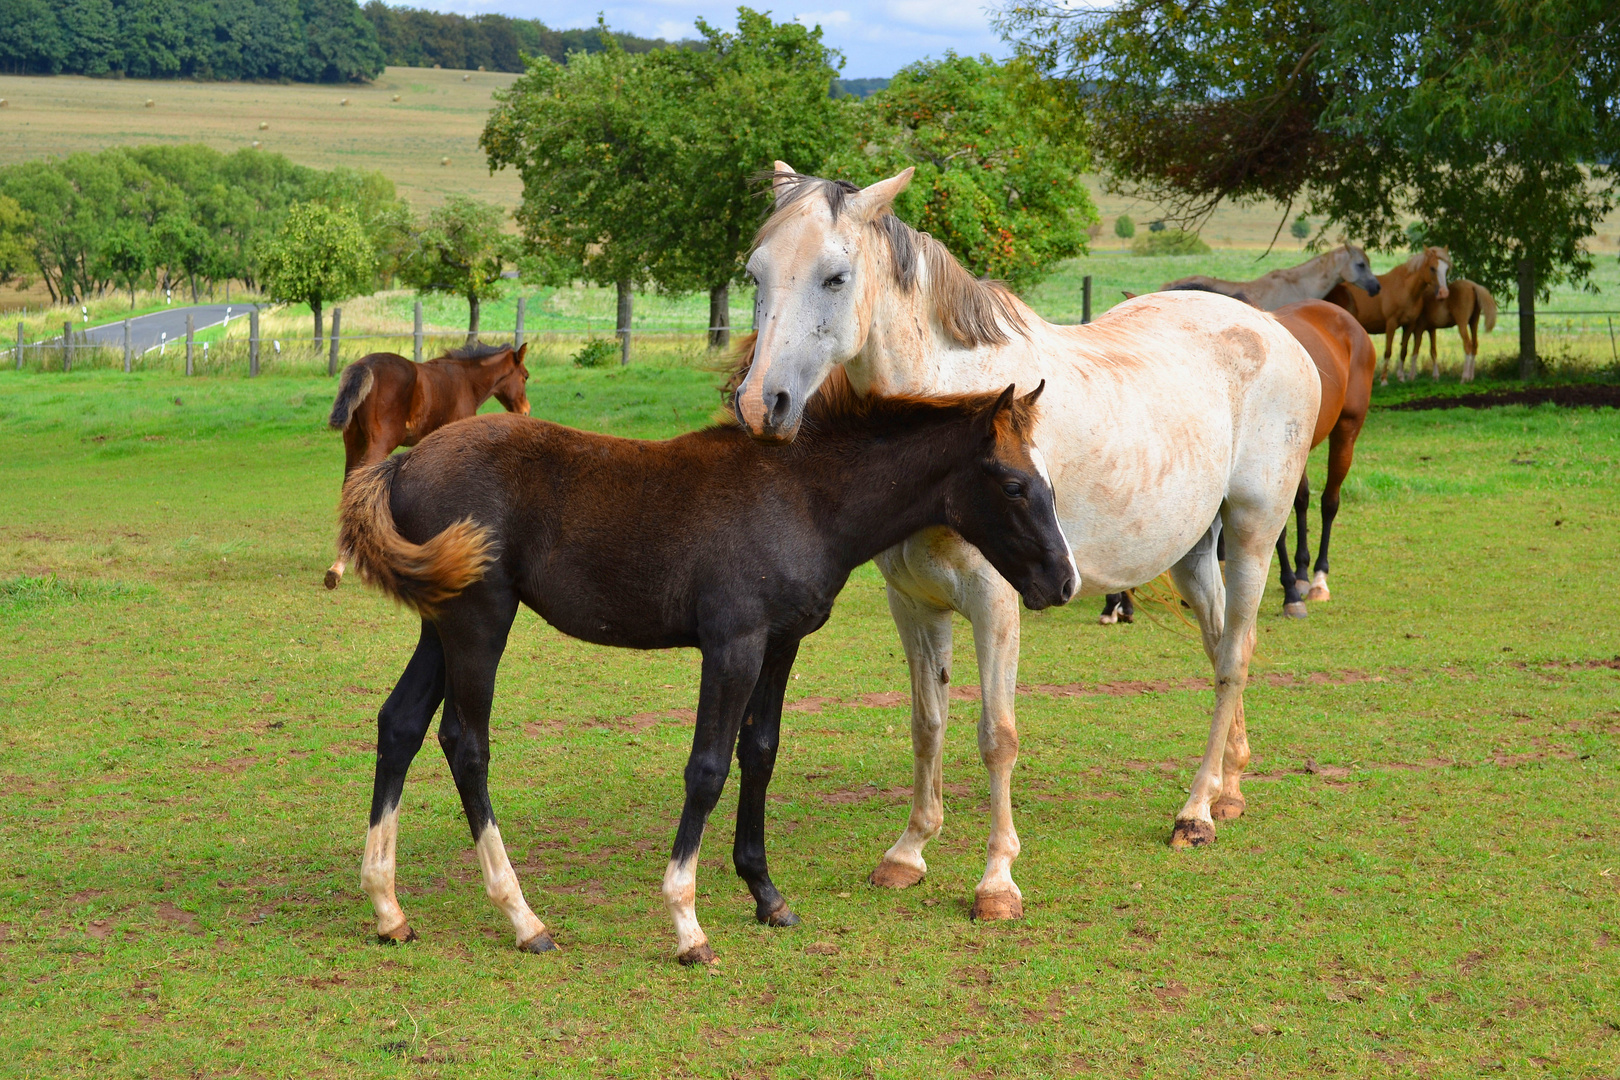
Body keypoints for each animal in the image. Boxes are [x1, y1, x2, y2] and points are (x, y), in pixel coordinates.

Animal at [322, 340, 531, 586]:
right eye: (525, 376)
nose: (525, 411)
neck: (465, 381)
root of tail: (366, 365)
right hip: (379, 443)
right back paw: (341, 564)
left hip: (354, 442)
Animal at [338, 380, 1075, 965]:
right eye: (1014, 485)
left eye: (1051, 483)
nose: (1063, 583)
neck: (802, 498)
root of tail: (404, 463)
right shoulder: (732, 646)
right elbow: (708, 768)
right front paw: (687, 924)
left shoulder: (780, 645)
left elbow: (761, 751)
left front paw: (767, 896)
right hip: (479, 619)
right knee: (466, 745)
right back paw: (523, 919)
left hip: (443, 621)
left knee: (400, 723)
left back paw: (388, 912)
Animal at [735, 165, 1315, 919]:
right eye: (755, 274)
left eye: (835, 277)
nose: (760, 407)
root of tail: (1277, 330)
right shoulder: (913, 602)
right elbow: (927, 722)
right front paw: (908, 852)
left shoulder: (996, 601)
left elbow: (996, 736)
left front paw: (996, 882)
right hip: (1192, 554)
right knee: (1222, 646)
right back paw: (1229, 789)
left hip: (1250, 535)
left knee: (1232, 662)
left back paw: (1195, 814)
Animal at [1321, 244, 1451, 383]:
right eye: (1432, 268)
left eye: (1447, 269)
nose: (1444, 293)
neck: (1405, 290)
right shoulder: (1391, 324)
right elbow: (1388, 351)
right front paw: (1384, 380)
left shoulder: (1409, 325)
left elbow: (1403, 351)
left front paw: (1401, 377)